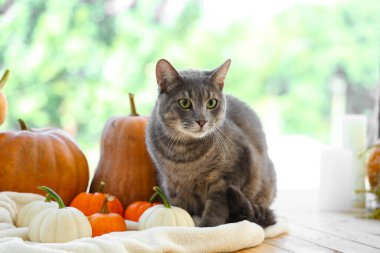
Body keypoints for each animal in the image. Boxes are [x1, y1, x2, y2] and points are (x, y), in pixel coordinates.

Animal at [145, 59, 276, 227]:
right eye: (184, 102)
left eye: (212, 103)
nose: (202, 120)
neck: (185, 153)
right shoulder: (171, 182)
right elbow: (178, 206)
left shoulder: (229, 176)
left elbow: (216, 208)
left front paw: (206, 228)